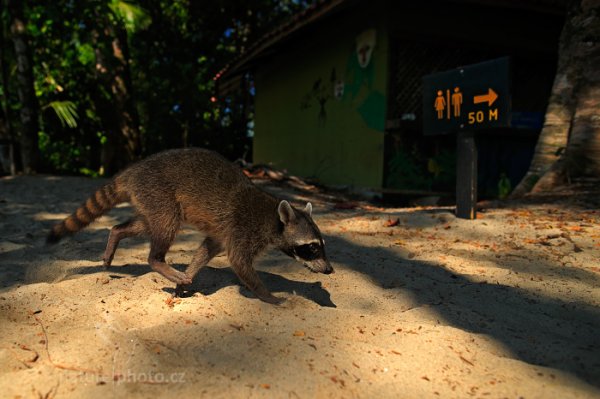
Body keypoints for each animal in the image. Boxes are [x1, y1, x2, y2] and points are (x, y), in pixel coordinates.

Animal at [47, 148, 332, 304]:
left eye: (321, 246)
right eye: (312, 248)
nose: (330, 270)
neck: (273, 218)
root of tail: (131, 172)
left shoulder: (223, 233)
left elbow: (205, 251)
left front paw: (189, 277)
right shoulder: (243, 228)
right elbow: (240, 263)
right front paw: (270, 296)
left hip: (149, 200)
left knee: (143, 225)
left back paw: (115, 235)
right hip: (158, 193)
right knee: (165, 226)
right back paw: (158, 261)